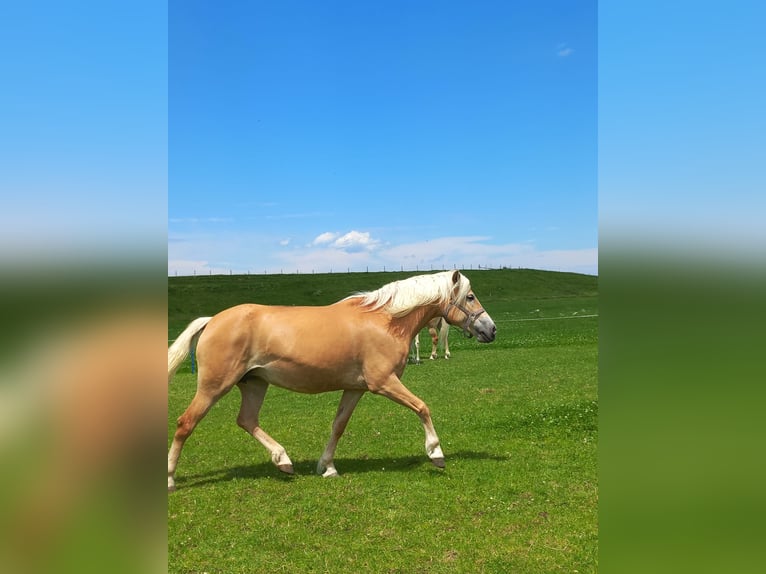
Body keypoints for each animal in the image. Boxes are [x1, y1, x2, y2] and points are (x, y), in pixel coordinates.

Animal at [166, 268, 498, 490]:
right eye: (470, 296)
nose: (491, 329)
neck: (386, 321)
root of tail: (212, 320)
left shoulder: (354, 388)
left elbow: (338, 426)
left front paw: (327, 467)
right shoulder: (384, 382)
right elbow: (422, 407)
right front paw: (436, 454)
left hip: (255, 384)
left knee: (247, 420)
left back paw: (283, 460)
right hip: (214, 386)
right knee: (185, 423)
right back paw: (169, 478)